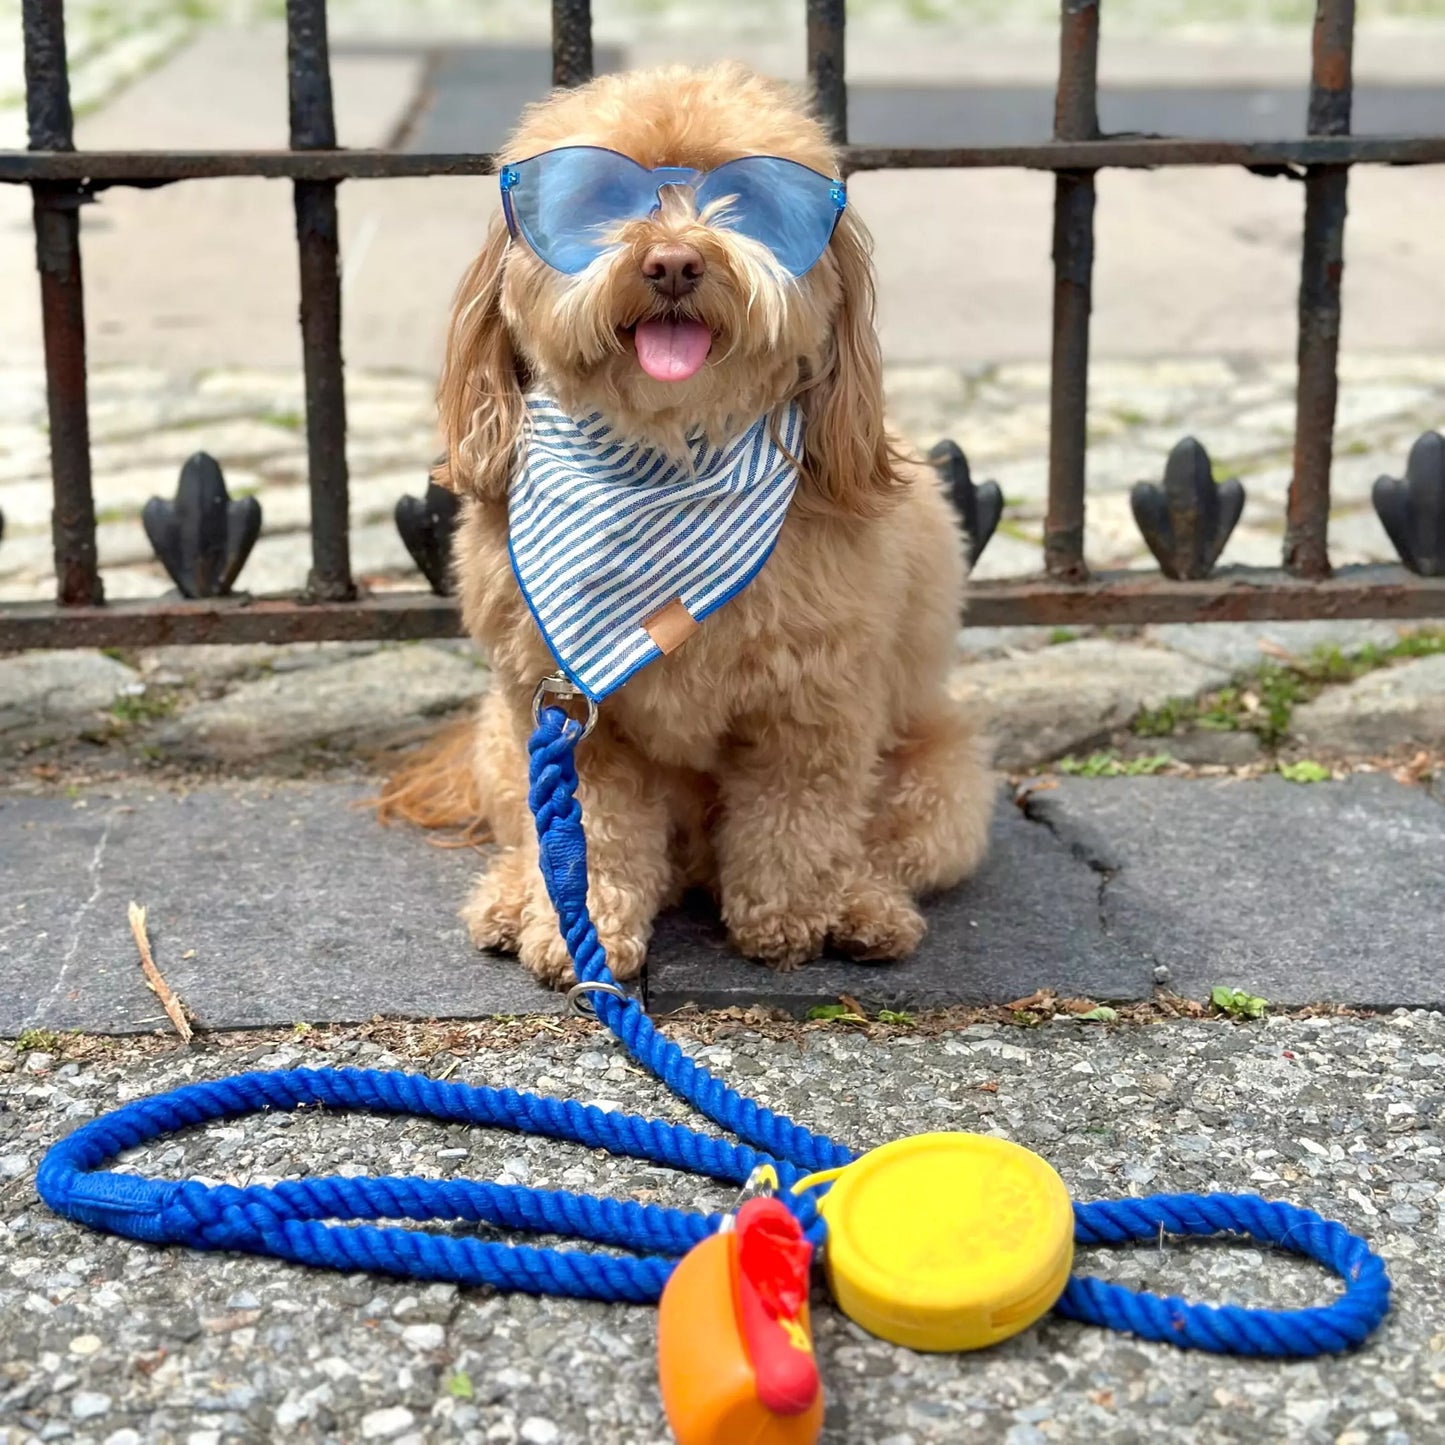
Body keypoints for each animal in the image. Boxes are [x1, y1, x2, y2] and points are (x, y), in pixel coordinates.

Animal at [379, 62, 994, 987]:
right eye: (600, 197)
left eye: (755, 202)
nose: (673, 261)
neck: (663, 455)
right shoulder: (570, 722)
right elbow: (590, 840)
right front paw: (579, 930)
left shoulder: (815, 706)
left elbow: (798, 815)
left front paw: (789, 916)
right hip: (503, 739)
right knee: (535, 835)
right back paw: (512, 896)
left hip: (944, 775)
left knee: (884, 844)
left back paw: (861, 906)